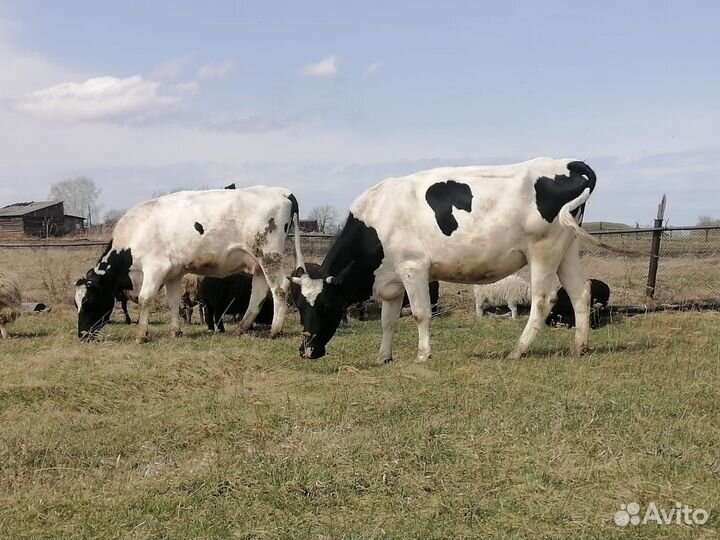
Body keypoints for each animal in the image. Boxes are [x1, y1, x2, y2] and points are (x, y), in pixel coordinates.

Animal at [75, 186, 298, 342]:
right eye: (76, 303)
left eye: (87, 302)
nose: (82, 335)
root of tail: (281, 191)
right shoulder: (173, 273)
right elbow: (173, 301)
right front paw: (176, 331)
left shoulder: (156, 269)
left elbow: (146, 299)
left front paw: (141, 334)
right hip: (258, 263)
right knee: (258, 293)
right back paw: (241, 328)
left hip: (269, 256)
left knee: (280, 288)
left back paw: (275, 331)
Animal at [291, 157, 607, 362]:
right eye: (299, 307)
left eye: (326, 305)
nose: (307, 351)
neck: (377, 219)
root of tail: (565, 163)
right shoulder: (392, 282)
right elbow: (387, 321)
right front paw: (384, 357)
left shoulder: (414, 269)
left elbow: (420, 314)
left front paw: (423, 355)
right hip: (566, 248)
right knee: (579, 293)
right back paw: (580, 347)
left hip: (543, 249)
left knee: (543, 300)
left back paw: (518, 350)